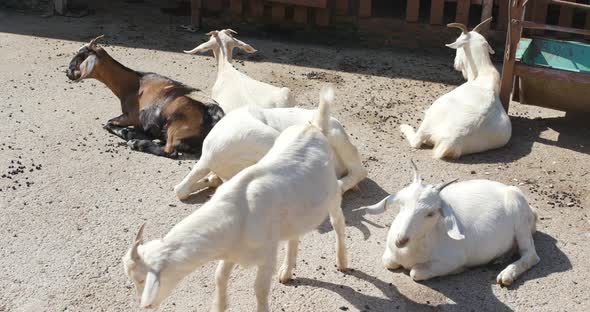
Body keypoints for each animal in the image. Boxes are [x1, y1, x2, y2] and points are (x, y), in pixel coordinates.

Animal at [66, 36, 224, 158]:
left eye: (81, 56)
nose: (67, 71)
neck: (134, 85)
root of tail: (215, 115)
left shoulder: (131, 116)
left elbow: (108, 123)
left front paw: (129, 134)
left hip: (177, 124)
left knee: (170, 151)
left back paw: (137, 143)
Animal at [360, 162, 540, 286]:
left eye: (431, 213)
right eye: (401, 204)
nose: (400, 240)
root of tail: (532, 212)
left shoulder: (454, 259)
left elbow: (415, 272)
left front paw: (459, 270)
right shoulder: (390, 254)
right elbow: (388, 262)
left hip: (519, 215)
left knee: (531, 255)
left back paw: (506, 275)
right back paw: (500, 259)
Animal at [402, 17, 512, 158]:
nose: (456, 64)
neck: (484, 75)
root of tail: (450, 139)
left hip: (431, 117)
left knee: (416, 141)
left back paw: (404, 127)